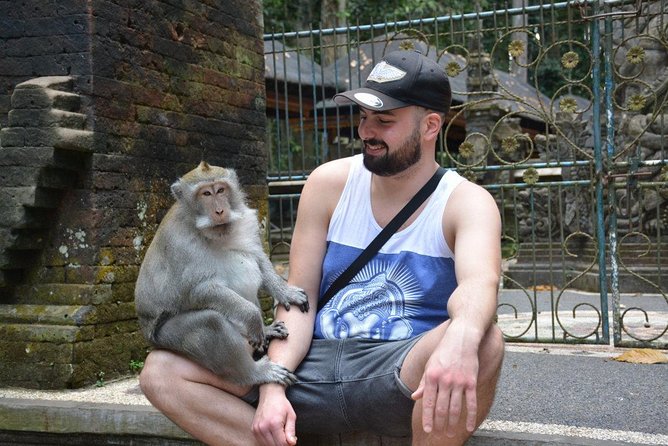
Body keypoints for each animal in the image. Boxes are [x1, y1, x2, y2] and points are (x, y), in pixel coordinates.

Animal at [134, 161, 309, 387]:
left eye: (220, 190)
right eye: (206, 193)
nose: (219, 210)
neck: (213, 233)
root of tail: (147, 332)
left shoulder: (247, 222)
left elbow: (258, 259)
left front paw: (285, 292)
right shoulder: (181, 244)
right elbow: (199, 290)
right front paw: (253, 317)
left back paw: (267, 331)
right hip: (164, 335)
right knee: (211, 322)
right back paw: (254, 373)